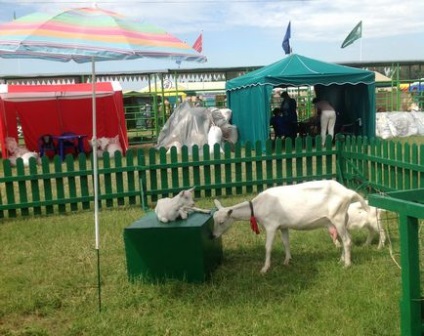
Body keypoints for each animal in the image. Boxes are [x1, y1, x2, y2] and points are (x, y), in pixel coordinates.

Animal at [212, 181, 368, 272]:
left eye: (221, 222)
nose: (213, 235)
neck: (257, 206)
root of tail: (348, 192)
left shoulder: (271, 225)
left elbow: (268, 247)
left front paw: (265, 268)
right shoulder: (283, 226)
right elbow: (286, 242)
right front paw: (287, 261)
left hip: (338, 217)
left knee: (347, 240)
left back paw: (347, 264)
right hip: (340, 218)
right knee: (345, 238)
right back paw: (341, 259)